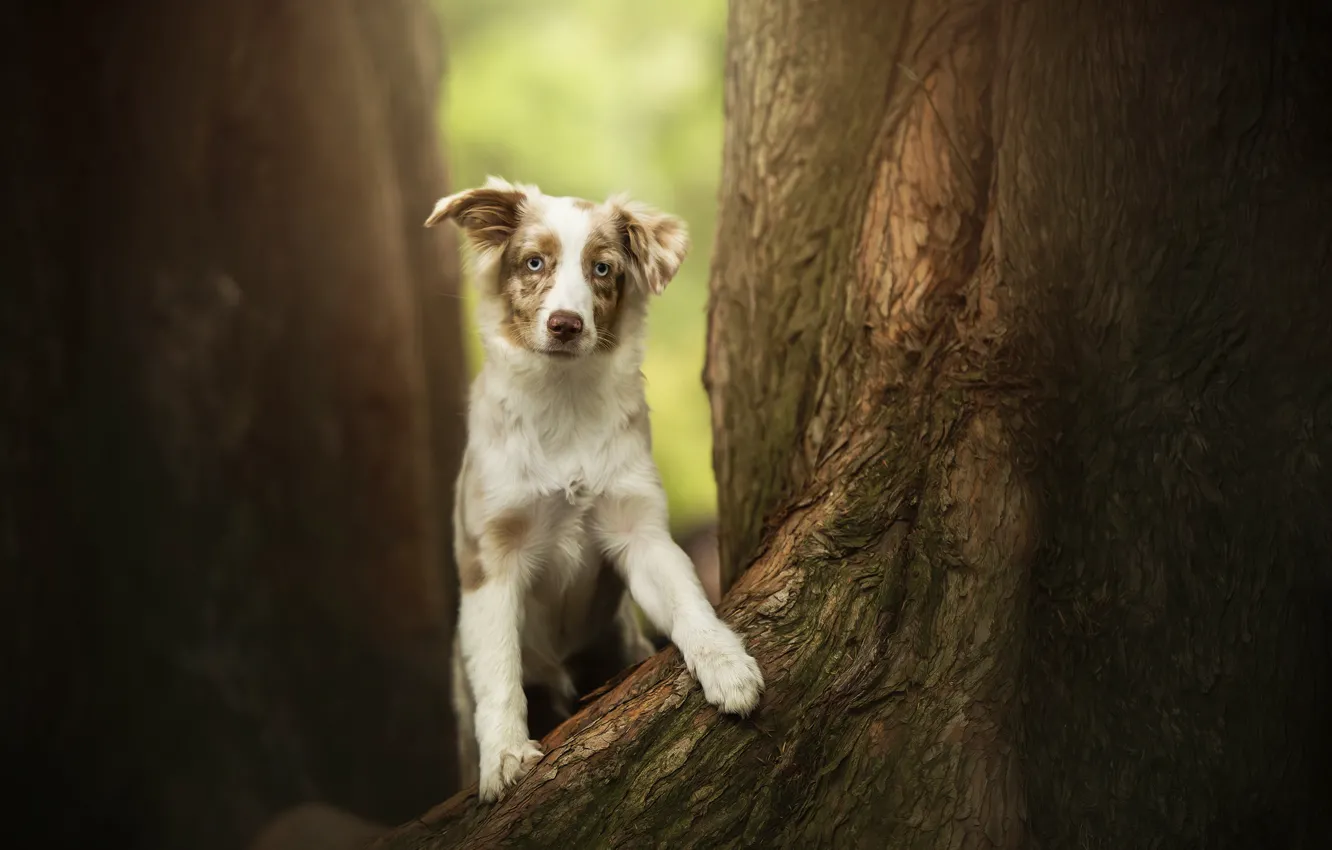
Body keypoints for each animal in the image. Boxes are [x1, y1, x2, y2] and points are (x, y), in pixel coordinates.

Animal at [423, 175, 761, 804]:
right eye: (534, 262)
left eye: (602, 268)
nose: (565, 324)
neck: (563, 403)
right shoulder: (490, 560)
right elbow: (499, 670)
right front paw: (504, 757)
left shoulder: (641, 531)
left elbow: (689, 602)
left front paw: (727, 666)